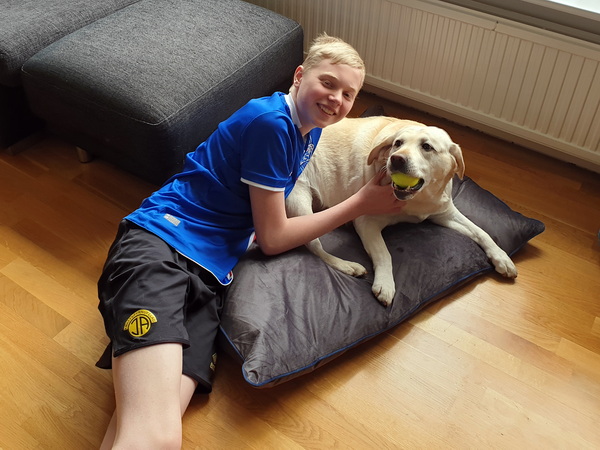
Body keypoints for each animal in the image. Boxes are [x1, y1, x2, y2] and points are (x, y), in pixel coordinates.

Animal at [285, 116, 517, 306]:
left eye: (427, 147)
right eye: (397, 143)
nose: (396, 158)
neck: (419, 199)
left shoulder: (444, 213)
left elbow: (481, 232)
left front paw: (501, 257)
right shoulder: (366, 221)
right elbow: (384, 253)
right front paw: (385, 284)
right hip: (299, 199)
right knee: (313, 245)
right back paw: (348, 266)